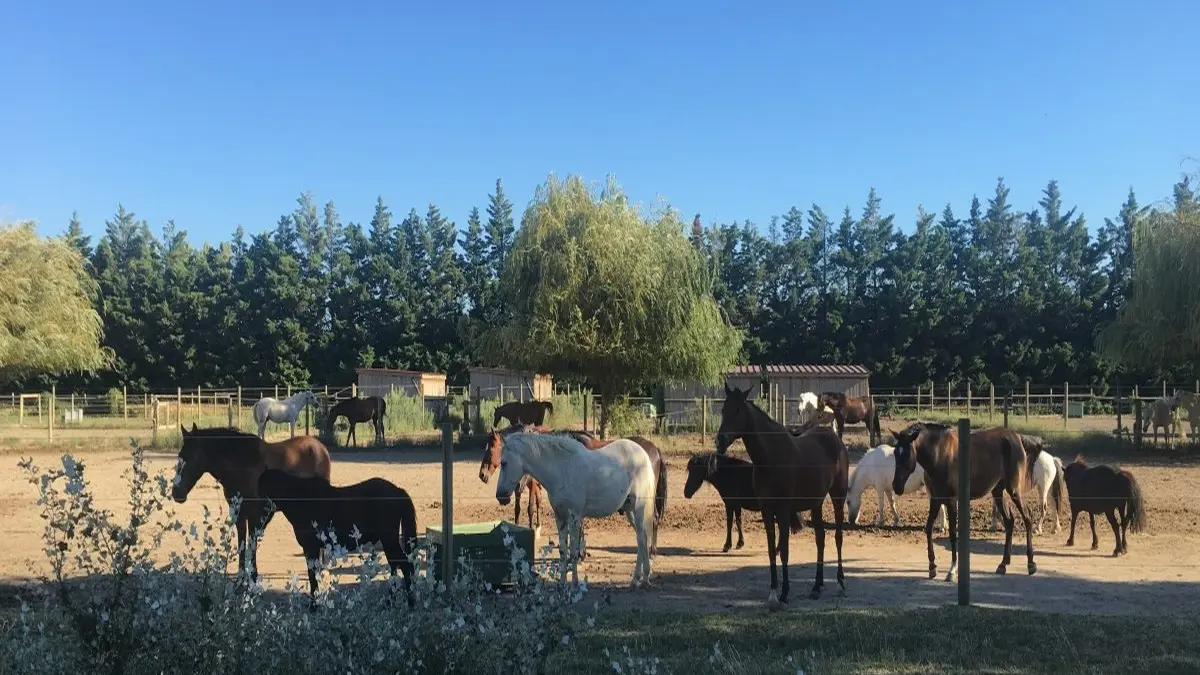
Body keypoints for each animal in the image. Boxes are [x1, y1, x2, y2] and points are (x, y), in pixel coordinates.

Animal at [170, 422, 333, 576]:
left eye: (192, 457)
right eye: (179, 456)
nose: (176, 492)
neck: (241, 466)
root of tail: (321, 448)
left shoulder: (256, 515)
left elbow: (251, 544)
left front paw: (252, 578)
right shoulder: (239, 514)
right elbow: (242, 544)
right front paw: (241, 579)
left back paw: (323, 568)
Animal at [494, 429, 657, 583]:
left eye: (503, 463)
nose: (500, 496)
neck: (562, 470)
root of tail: (642, 453)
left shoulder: (574, 518)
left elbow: (573, 552)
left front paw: (574, 585)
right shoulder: (560, 518)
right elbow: (562, 552)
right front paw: (562, 584)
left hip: (639, 508)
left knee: (641, 538)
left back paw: (640, 579)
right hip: (629, 510)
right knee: (641, 539)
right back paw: (640, 578)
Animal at [715, 381, 849, 607]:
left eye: (738, 410)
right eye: (724, 410)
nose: (720, 441)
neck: (770, 458)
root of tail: (834, 438)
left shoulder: (784, 510)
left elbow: (784, 550)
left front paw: (785, 593)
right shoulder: (767, 511)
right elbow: (772, 550)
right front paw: (773, 593)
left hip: (837, 497)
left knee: (838, 538)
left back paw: (840, 583)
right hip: (816, 503)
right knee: (820, 539)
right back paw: (816, 586)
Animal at [892, 422, 1041, 581]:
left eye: (907, 454)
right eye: (895, 453)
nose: (896, 486)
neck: (940, 454)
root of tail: (1017, 437)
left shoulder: (952, 501)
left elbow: (952, 534)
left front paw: (952, 570)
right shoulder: (935, 500)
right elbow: (929, 529)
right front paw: (932, 567)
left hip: (1014, 490)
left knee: (1027, 517)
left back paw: (1031, 564)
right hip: (998, 492)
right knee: (1009, 522)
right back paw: (1003, 564)